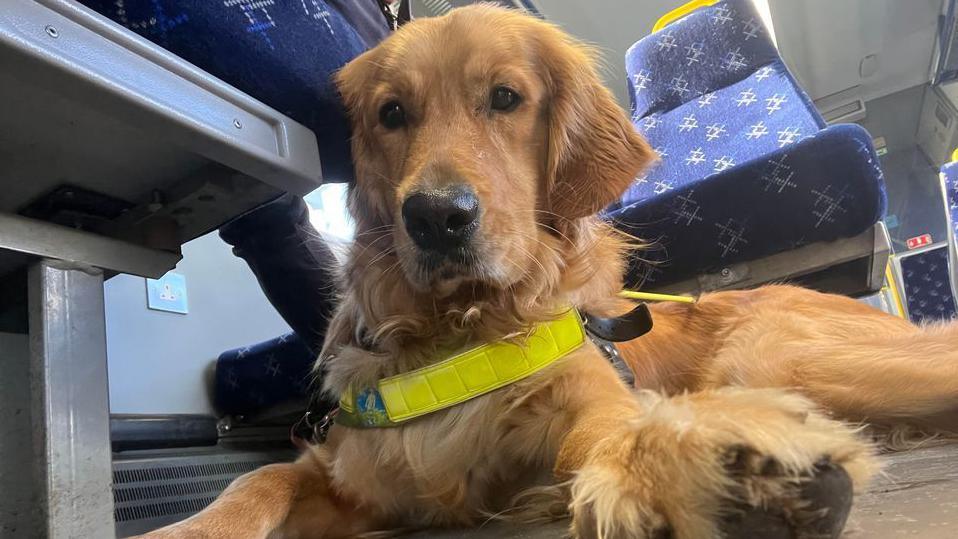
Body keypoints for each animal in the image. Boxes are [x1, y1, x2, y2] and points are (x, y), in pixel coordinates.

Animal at [141, 5, 958, 539]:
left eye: (505, 98)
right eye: (392, 113)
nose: (436, 217)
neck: (460, 328)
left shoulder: (581, 413)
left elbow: (616, 429)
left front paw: (687, 467)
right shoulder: (358, 479)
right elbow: (260, 477)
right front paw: (185, 531)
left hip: (782, 356)